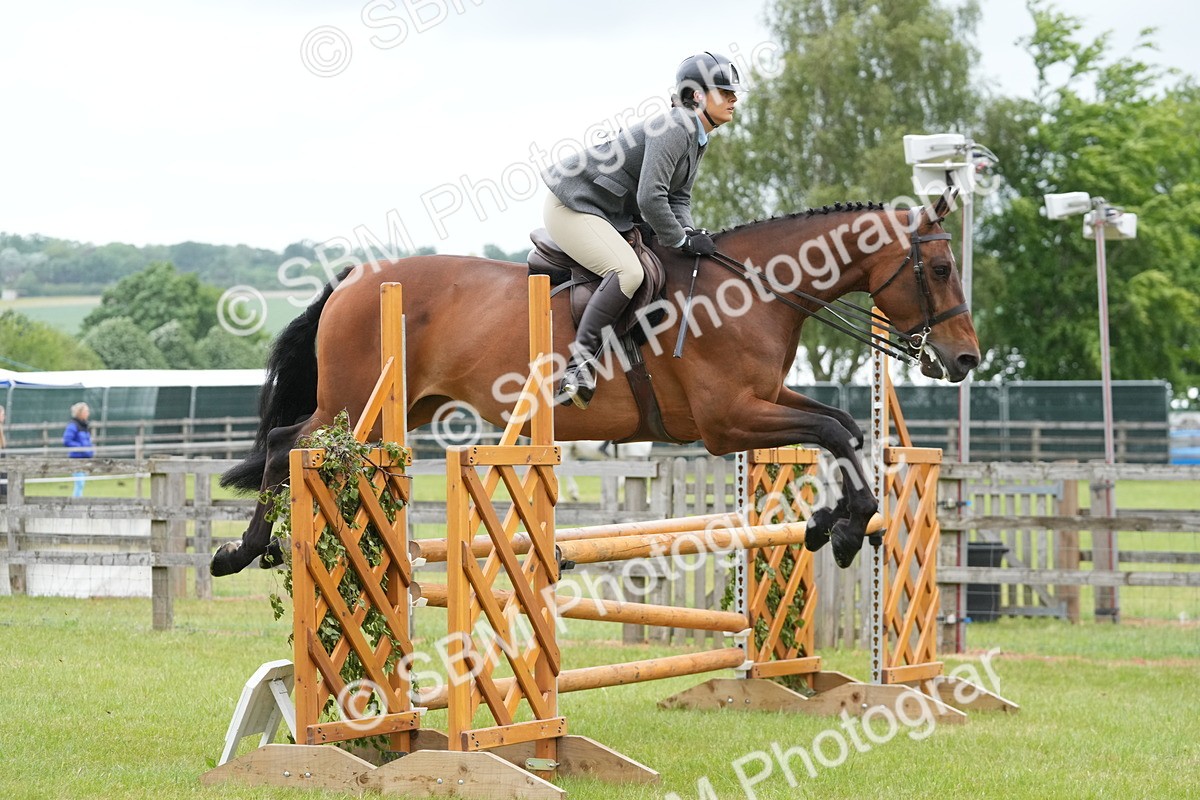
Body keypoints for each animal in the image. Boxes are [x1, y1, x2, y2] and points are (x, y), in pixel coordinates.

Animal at [211, 190, 978, 577]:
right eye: (941, 270)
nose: (966, 359)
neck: (752, 291)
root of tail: (354, 279)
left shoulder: (759, 403)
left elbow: (841, 428)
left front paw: (832, 523)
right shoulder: (725, 421)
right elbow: (829, 430)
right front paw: (845, 528)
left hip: (408, 406)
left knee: (300, 447)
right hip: (350, 401)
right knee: (286, 446)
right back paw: (240, 552)